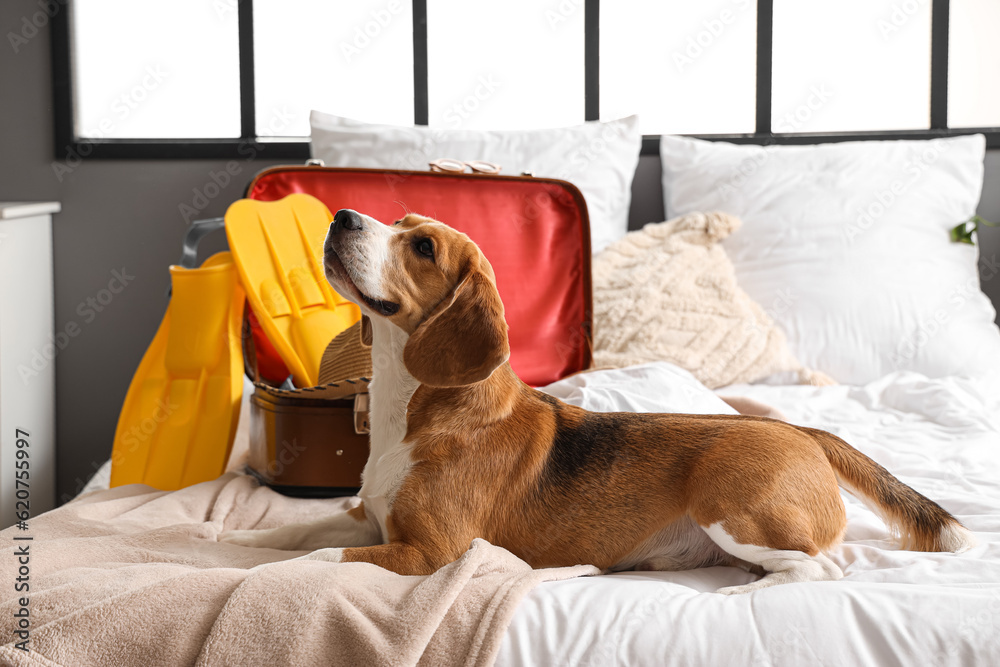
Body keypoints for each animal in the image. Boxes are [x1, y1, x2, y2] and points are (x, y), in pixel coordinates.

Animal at [221, 210, 976, 596]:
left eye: (423, 245)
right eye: (398, 222)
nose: (344, 213)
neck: (414, 408)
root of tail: (804, 431)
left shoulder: (431, 552)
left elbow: (318, 558)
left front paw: (255, 568)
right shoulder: (368, 518)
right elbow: (295, 531)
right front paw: (229, 538)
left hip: (732, 503)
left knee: (818, 567)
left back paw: (750, 588)